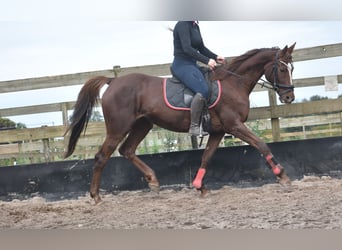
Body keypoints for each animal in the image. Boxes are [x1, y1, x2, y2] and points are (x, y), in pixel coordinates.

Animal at [64, 43, 296, 204]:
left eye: (292, 68)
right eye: (282, 70)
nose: (289, 98)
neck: (233, 82)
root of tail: (113, 81)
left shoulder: (219, 131)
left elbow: (206, 157)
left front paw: (199, 187)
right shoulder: (234, 125)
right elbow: (261, 144)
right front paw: (283, 176)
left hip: (143, 125)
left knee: (127, 150)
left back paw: (153, 181)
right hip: (118, 128)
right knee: (102, 157)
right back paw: (96, 197)